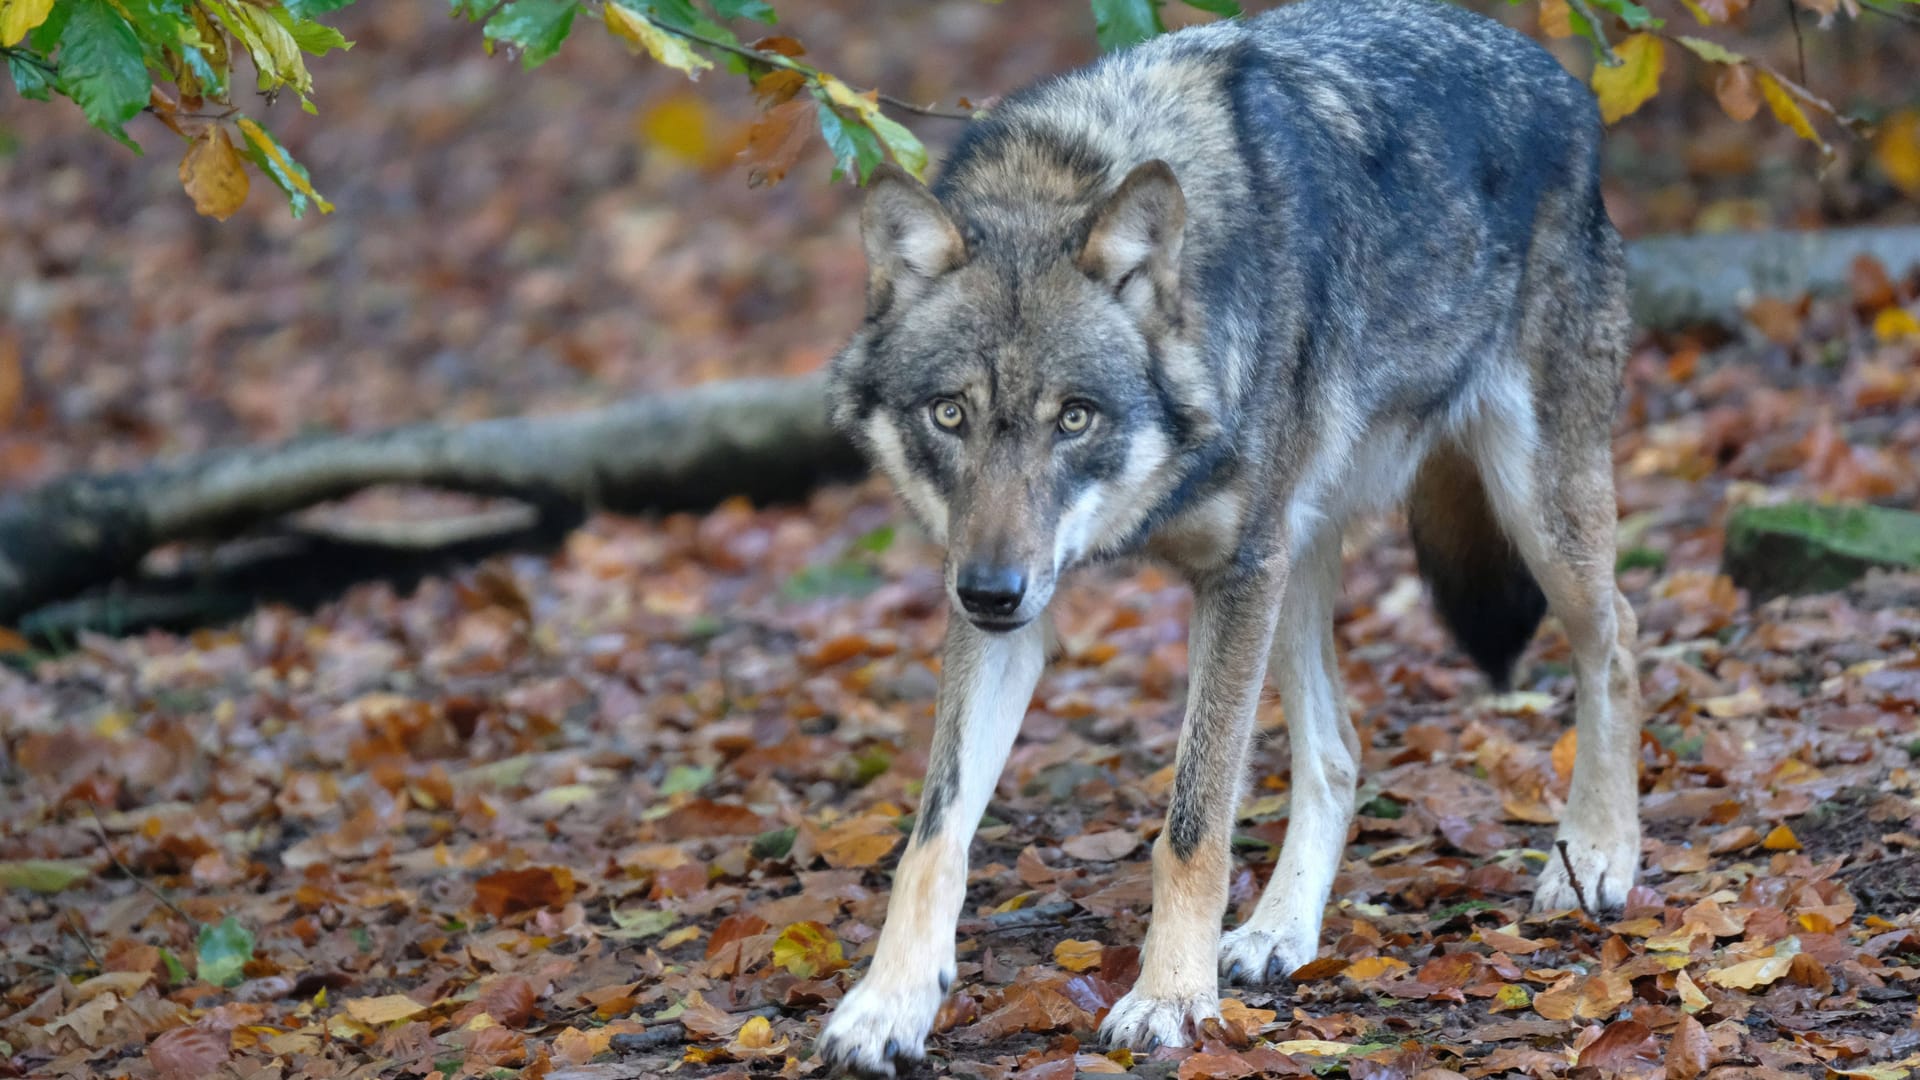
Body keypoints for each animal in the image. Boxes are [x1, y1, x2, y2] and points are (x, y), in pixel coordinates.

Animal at [817, 0, 1643, 1068]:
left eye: (1074, 418)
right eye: (949, 415)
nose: (991, 591)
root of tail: (1560, 79)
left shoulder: (1232, 572)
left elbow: (1192, 824)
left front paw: (1170, 998)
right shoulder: (1017, 607)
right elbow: (934, 832)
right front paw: (891, 1003)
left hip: (1525, 513)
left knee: (1617, 638)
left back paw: (1596, 857)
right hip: (1295, 561)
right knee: (1339, 752)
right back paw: (1279, 933)